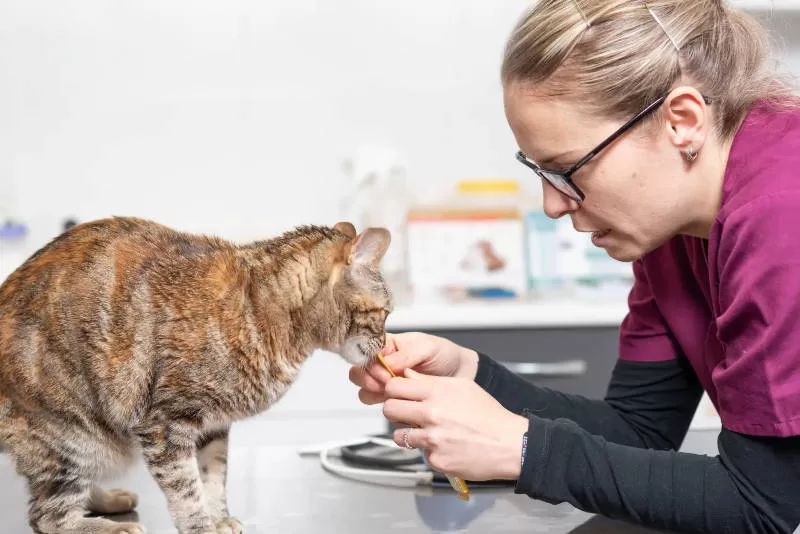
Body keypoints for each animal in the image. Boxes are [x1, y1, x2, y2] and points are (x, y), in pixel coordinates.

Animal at [0, 218, 394, 534]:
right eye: (386, 312)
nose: (387, 342)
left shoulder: (213, 427)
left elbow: (212, 479)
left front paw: (219, 519)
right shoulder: (165, 425)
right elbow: (186, 488)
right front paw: (201, 526)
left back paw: (109, 500)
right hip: (71, 434)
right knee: (48, 516)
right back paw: (108, 527)